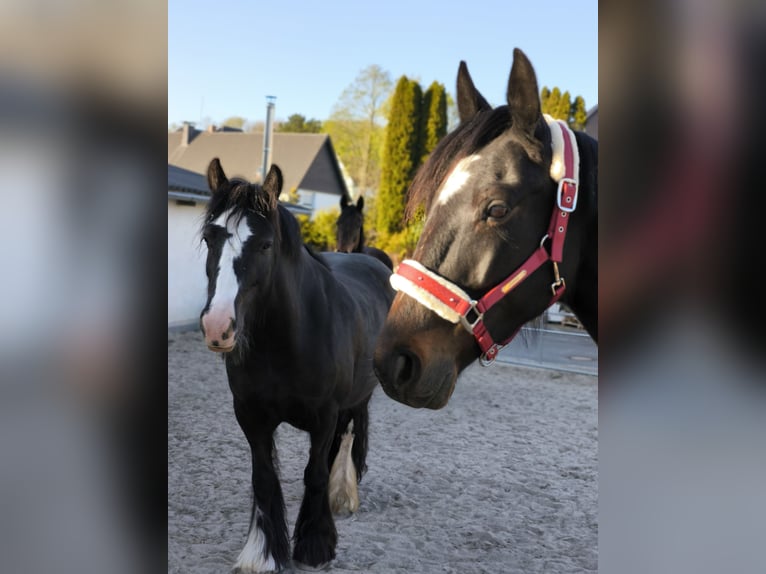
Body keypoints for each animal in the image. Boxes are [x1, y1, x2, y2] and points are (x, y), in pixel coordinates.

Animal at [199, 158, 394, 572]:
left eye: (265, 244)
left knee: (349, 433)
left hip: (357, 397)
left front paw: (315, 544)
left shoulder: (324, 416)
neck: (286, 339)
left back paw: (343, 494)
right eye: (210, 238)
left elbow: (315, 473)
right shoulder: (251, 416)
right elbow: (263, 478)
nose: (218, 326)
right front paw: (263, 552)